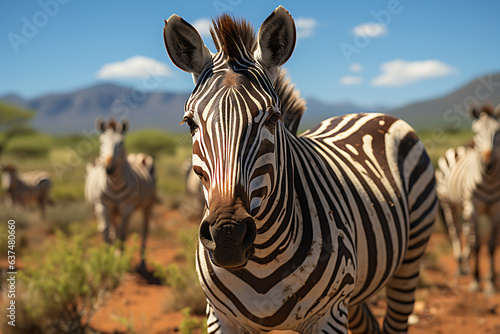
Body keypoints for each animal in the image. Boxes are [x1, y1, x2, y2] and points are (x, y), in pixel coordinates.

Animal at [84, 117, 156, 266]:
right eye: (101, 142)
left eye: (121, 143)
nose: (109, 168)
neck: (114, 184)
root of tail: (135, 156)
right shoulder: (102, 205)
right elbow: (105, 231)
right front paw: (108, 257)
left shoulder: (126, 208)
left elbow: (123, 234)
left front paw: (120, 260)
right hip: (113, 210)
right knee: (113, 229)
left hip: (148, 203)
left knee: (144, 228)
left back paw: (142, 262)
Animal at [162, 6, 436, 332]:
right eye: (190, 123)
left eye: (272, 118)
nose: (228, 234)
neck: (262, 257)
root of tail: (367, 113)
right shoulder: (220, 316)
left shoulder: (328, 314)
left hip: (412, 254)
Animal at [434, 102, 500, 294]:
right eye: (476, 132)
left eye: (498, 132)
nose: (488, 163)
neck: (489, 180)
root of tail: (459, 148)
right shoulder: (474, 208)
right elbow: (477, 243)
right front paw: (476, 281)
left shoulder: (496, 210)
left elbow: (491, 245)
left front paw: (490, 282)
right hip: (448, 204)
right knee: (455, 231)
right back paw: (460, 267)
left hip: (464, 207)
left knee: (465, 231)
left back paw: (467, 264)